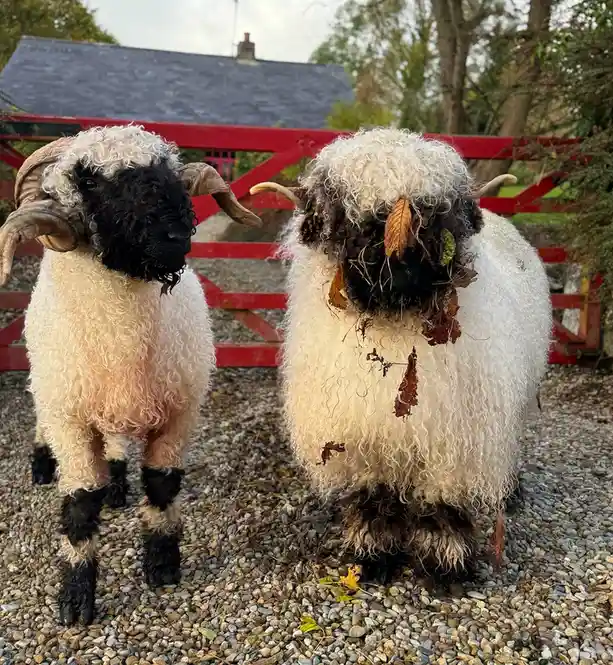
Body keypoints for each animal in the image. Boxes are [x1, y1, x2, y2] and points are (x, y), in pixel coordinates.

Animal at [0, 124, 262, 625]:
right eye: (86, 179)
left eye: (167, 167)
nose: (173, 234)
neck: (122, 340)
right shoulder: (71, 420)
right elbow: (80, 503)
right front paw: (75, 599)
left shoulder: (180, 412)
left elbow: (162, 486)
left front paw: (162, 566)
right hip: (51, 388)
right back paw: (43, 466)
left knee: (117, 443)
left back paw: (119, 485)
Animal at [251, 128, 552, 585]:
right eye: (341, 211)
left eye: (441, 208)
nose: (402, 249)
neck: (395, 323)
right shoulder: (360, 438)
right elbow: (374, 497)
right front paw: (372, 555)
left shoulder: (453, 442)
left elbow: (443, 501)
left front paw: (446, 564)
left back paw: (510, 493)